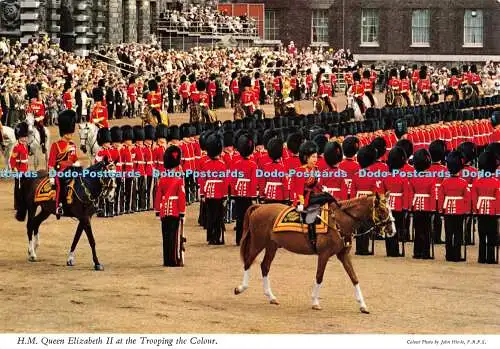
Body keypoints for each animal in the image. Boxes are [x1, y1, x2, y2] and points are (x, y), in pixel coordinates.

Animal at [233, 194, 394, 312]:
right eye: (382, 210)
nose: (392, 230)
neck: (339, 221)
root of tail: (260, 206)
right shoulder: (324, 255)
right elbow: (319, 276)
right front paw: (315, 302)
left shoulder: (343, 255)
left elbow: (354, 278)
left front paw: (363, 305)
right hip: (258, 243)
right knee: (248, 262)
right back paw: (241, 288)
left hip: (272, 246)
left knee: (264, 266)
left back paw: (271, 297)